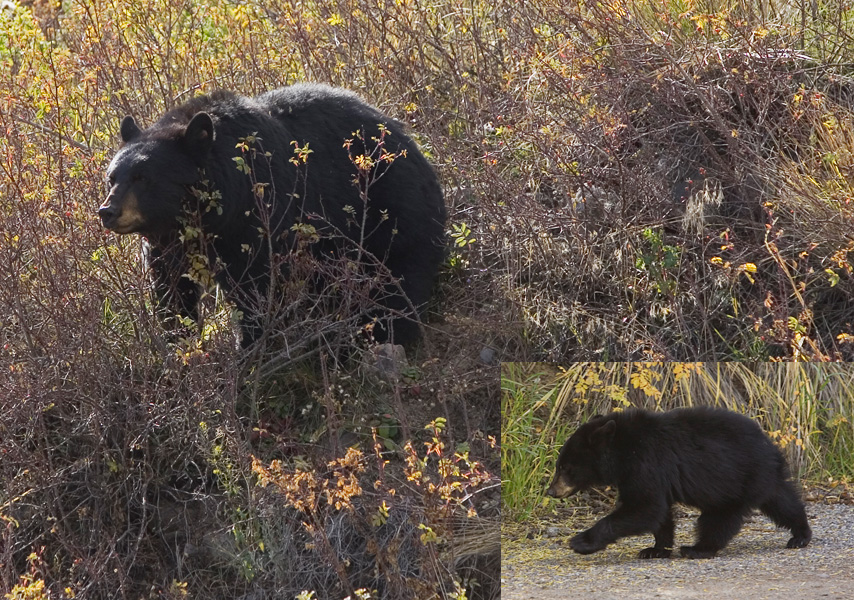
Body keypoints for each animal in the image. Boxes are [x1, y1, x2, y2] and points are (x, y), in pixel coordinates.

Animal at [98, 83, 446, 347]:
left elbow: (259, 286)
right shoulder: (168, 244)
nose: (108, 211)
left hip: (394, 207)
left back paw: (385, 334)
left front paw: (250, 350)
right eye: (112, 177)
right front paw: (180, 345)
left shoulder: (258, 218)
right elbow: (171, 290)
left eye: (142, 178)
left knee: (399, 277)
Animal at [546, 407, 812, 559]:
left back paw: (698, 549)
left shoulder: (645, 463)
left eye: (564, 467)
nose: (551, 490)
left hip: (737, 481)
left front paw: (581, 542)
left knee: (719, 519)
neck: (623, 449)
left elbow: (645, 507)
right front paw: (655, 549)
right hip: (763, 479)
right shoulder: (645, 473)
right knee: (782, 501)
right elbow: (659, 511)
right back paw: (801, 534)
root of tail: (772, 448)